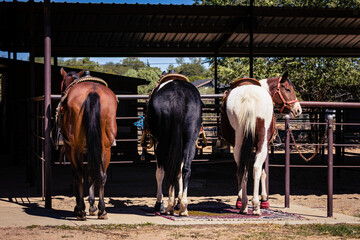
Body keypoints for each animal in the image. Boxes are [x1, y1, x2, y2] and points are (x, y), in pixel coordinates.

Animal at [59, 67, 117, 219]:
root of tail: (93, 92)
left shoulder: (70, 148)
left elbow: (78, 174)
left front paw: (80, 206)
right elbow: (92, 172)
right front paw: (92, 205)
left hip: (76, 148)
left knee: (79, 174)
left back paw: (80, 211)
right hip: (105, 148)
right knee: (102, 175)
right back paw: (102, 210)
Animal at [146, 71, 202, 216]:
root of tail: (178, 93)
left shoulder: (157, 144)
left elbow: (159, 173)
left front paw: (159, 203)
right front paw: (179, 201)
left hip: (163, 142)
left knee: (167, 168)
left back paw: (169, 206)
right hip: (190, 141)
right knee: (185, 169)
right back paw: (182, 207)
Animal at [222, 72, 300, 215]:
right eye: (288, 89)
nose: (298, 110)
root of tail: (249, 96)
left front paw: (240, 200)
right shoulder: (266, 146)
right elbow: (264, 172)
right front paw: (264, 199)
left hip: (238, 143)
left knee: (243, 169)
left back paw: (244, 205)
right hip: (261, 144)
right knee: (256, 168)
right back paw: (256, 205)